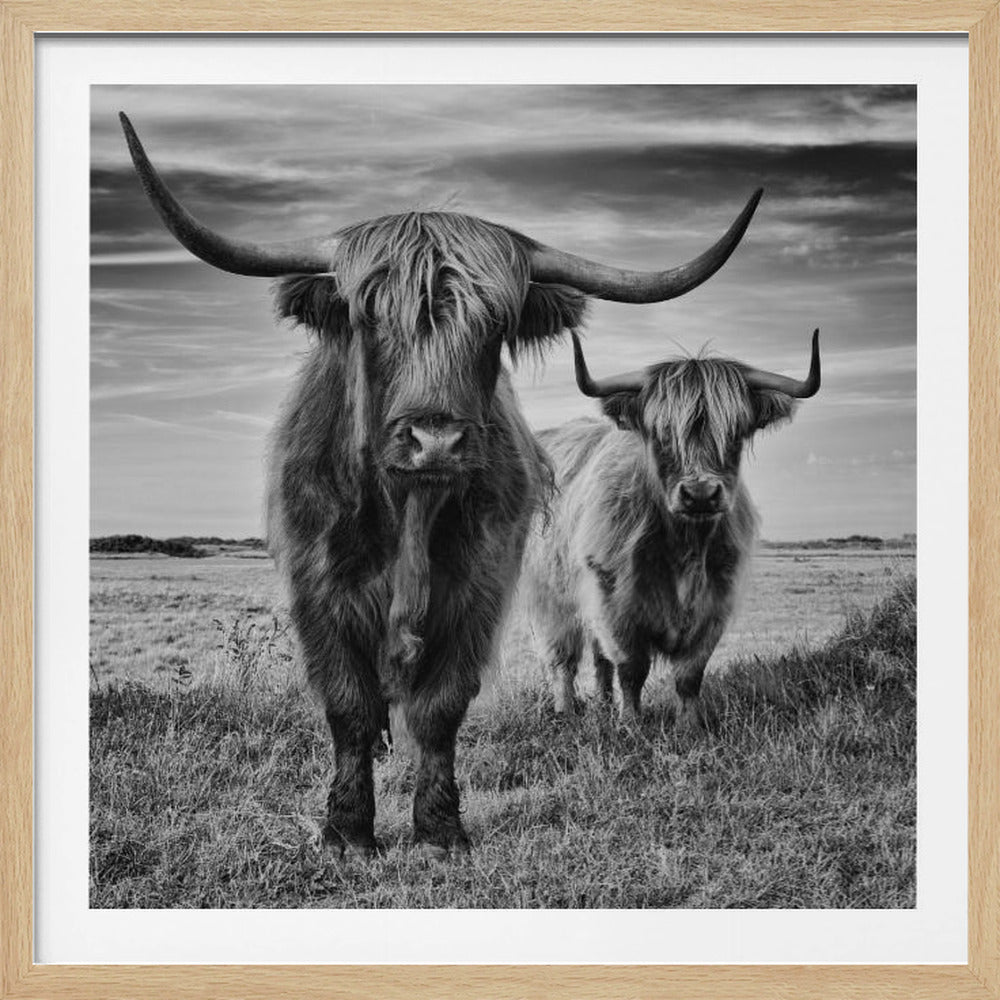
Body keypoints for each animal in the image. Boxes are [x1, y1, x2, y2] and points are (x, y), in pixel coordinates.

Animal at [119, 111, 762, 857]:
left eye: (495, 325)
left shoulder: (478, 589)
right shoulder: (318, 592)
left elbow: (441, 706)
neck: (410, 512)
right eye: (370, 316)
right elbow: (349, 705)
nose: (435, 441)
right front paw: (347, 832)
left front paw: (439, 828)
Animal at [521, 330, 820, 731]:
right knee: (563, 659)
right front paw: (631, 724)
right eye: (662, 434)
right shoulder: (615, 603)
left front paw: (688, 726)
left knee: (599, 659)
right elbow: (632, 668)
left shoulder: (715, 604)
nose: (700, 494)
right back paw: (566, 711)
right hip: (551, 596)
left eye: (735, 433)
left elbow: (689, 673)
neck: (685, 547)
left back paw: (602, 706)